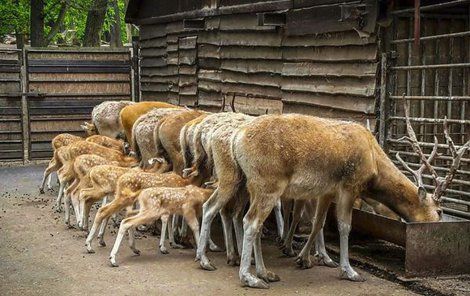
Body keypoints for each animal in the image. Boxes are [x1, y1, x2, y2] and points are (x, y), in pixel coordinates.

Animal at [229, 112, 446, 286]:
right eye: (439, 210)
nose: (435, 227)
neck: (374, 161)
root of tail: (237, 139)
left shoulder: (327, 191)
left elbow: (319, 222)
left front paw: (304, 258)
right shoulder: (349, 185)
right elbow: (344, 226)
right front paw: (349, 271)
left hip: (253, 186)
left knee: (256, 224)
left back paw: (265, 273)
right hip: (269, 184)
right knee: (251, 221)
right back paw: (249, 278)